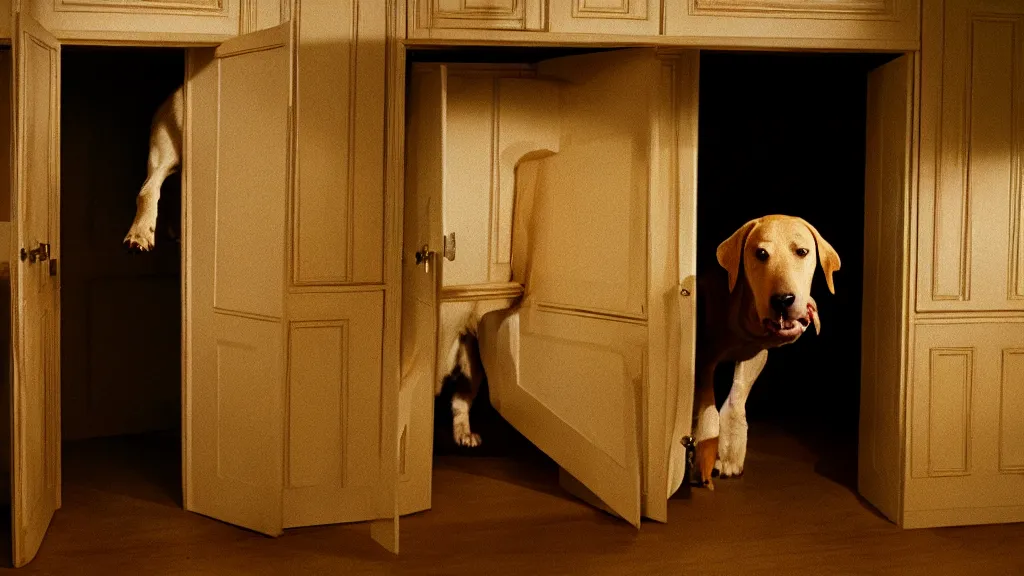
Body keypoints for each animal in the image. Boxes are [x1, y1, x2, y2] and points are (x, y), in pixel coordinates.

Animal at [692, 213, 843, 485]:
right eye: (761, 253)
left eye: (802, 251)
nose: (783, 300)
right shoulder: (703, 356)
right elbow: (707, 405)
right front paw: (705, 450)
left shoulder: (755, 353)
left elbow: (736, 397)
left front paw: (729, 452)